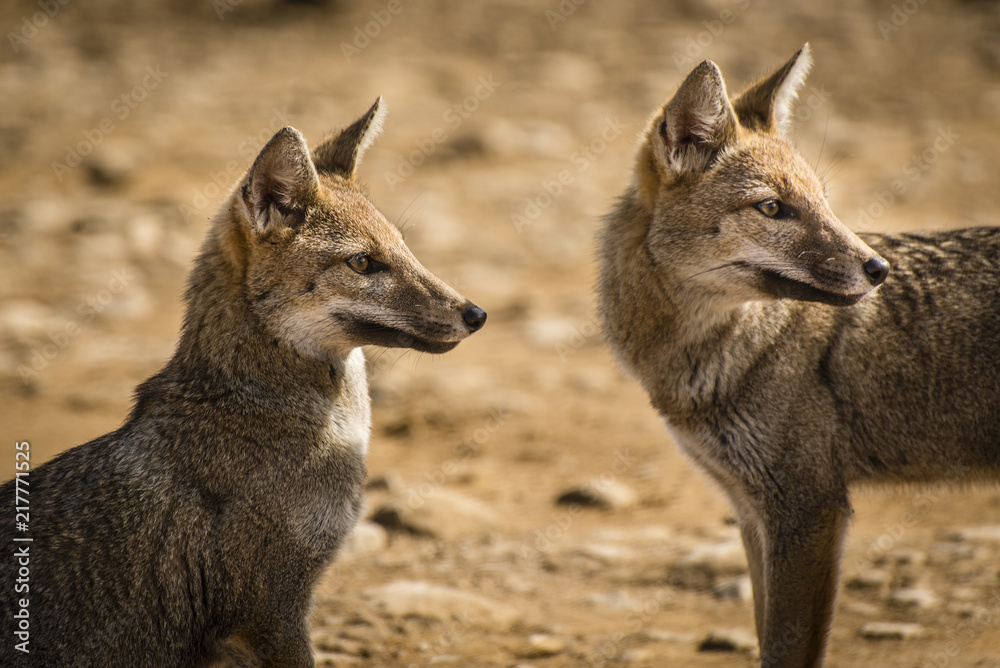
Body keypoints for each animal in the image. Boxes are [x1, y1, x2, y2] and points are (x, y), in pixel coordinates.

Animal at [598, 44, 1000, 667]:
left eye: (823, 203)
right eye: (772, 208)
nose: (878, 269)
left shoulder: (808, 510)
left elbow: (786, 648)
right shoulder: (751, 510)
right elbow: (767, 636)